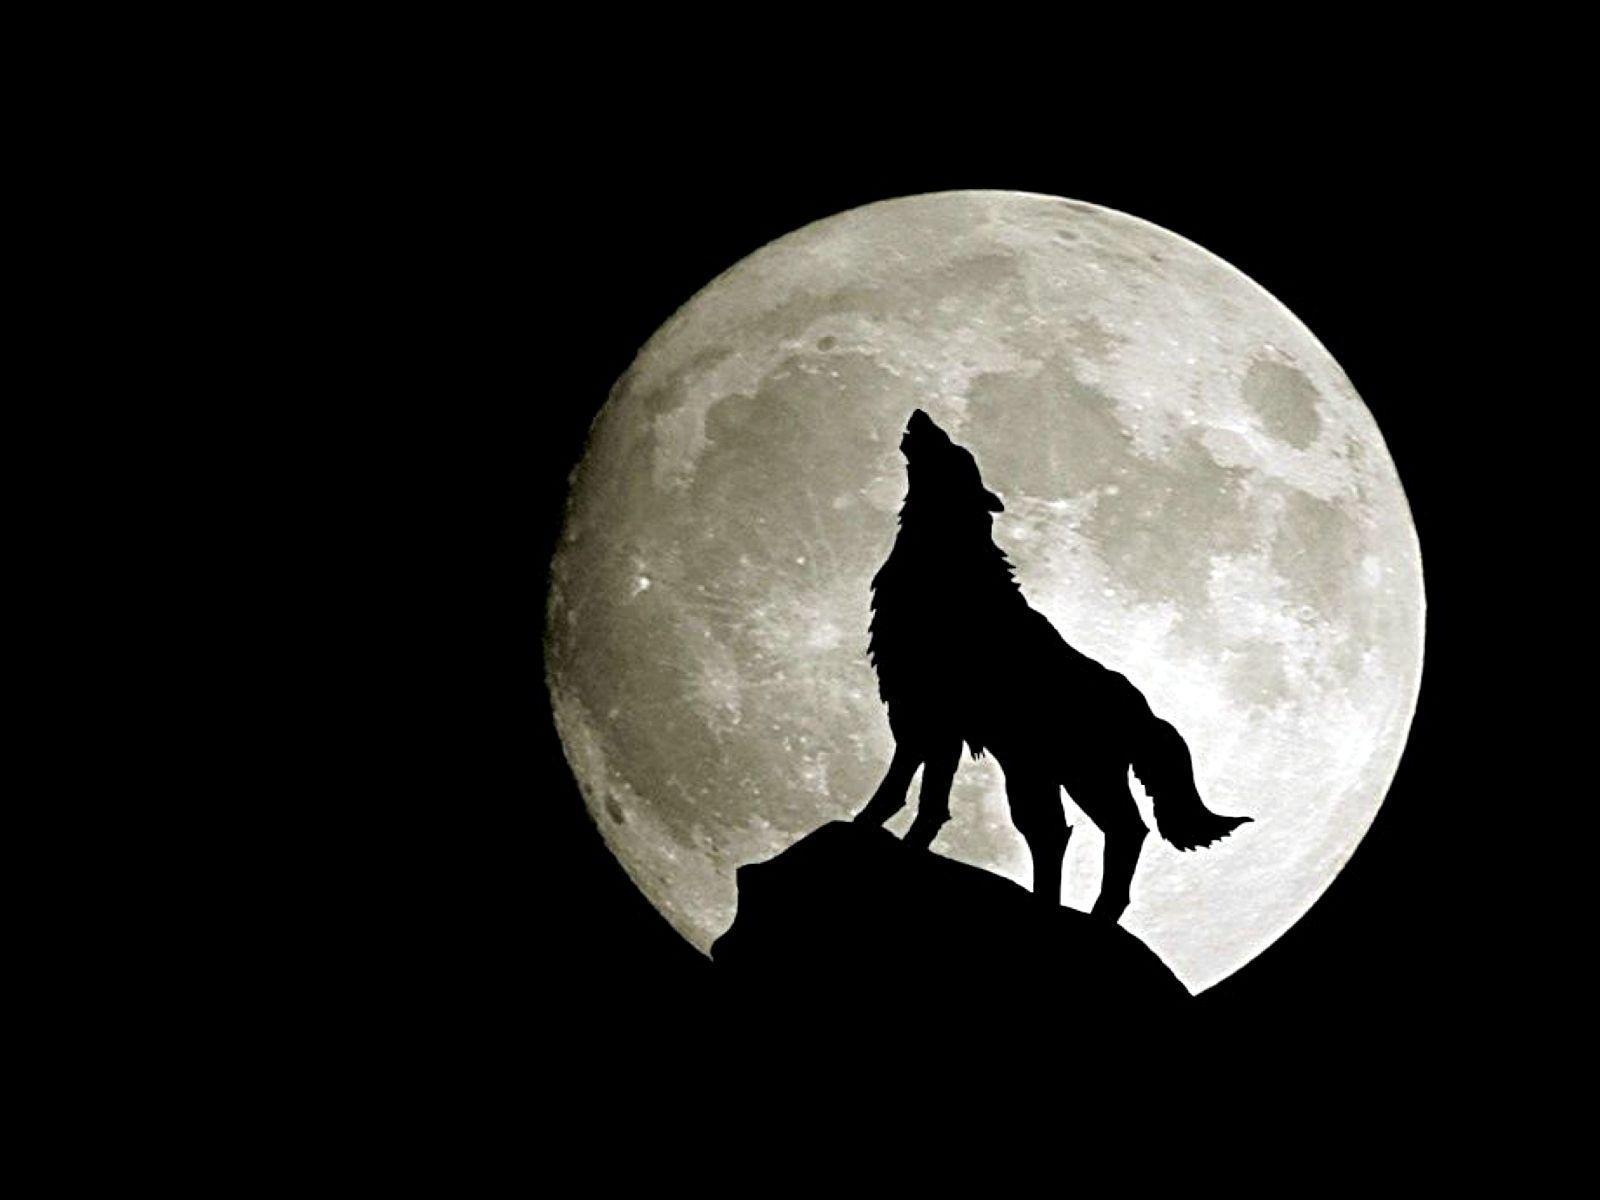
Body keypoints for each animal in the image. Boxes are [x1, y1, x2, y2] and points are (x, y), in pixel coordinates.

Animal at [853, 409, 1250, 922]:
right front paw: (903, 842)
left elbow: (902, 789)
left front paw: (866, 827)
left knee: (1119, 831)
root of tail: (1145, 710)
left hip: (1076, 776)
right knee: (1055, 833)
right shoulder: (934, 724)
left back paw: (1093, 914)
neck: (947, 562)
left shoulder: (926, 713)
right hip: (1037, 773)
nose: (922, 416)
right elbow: (927, 797)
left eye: (956, 451)